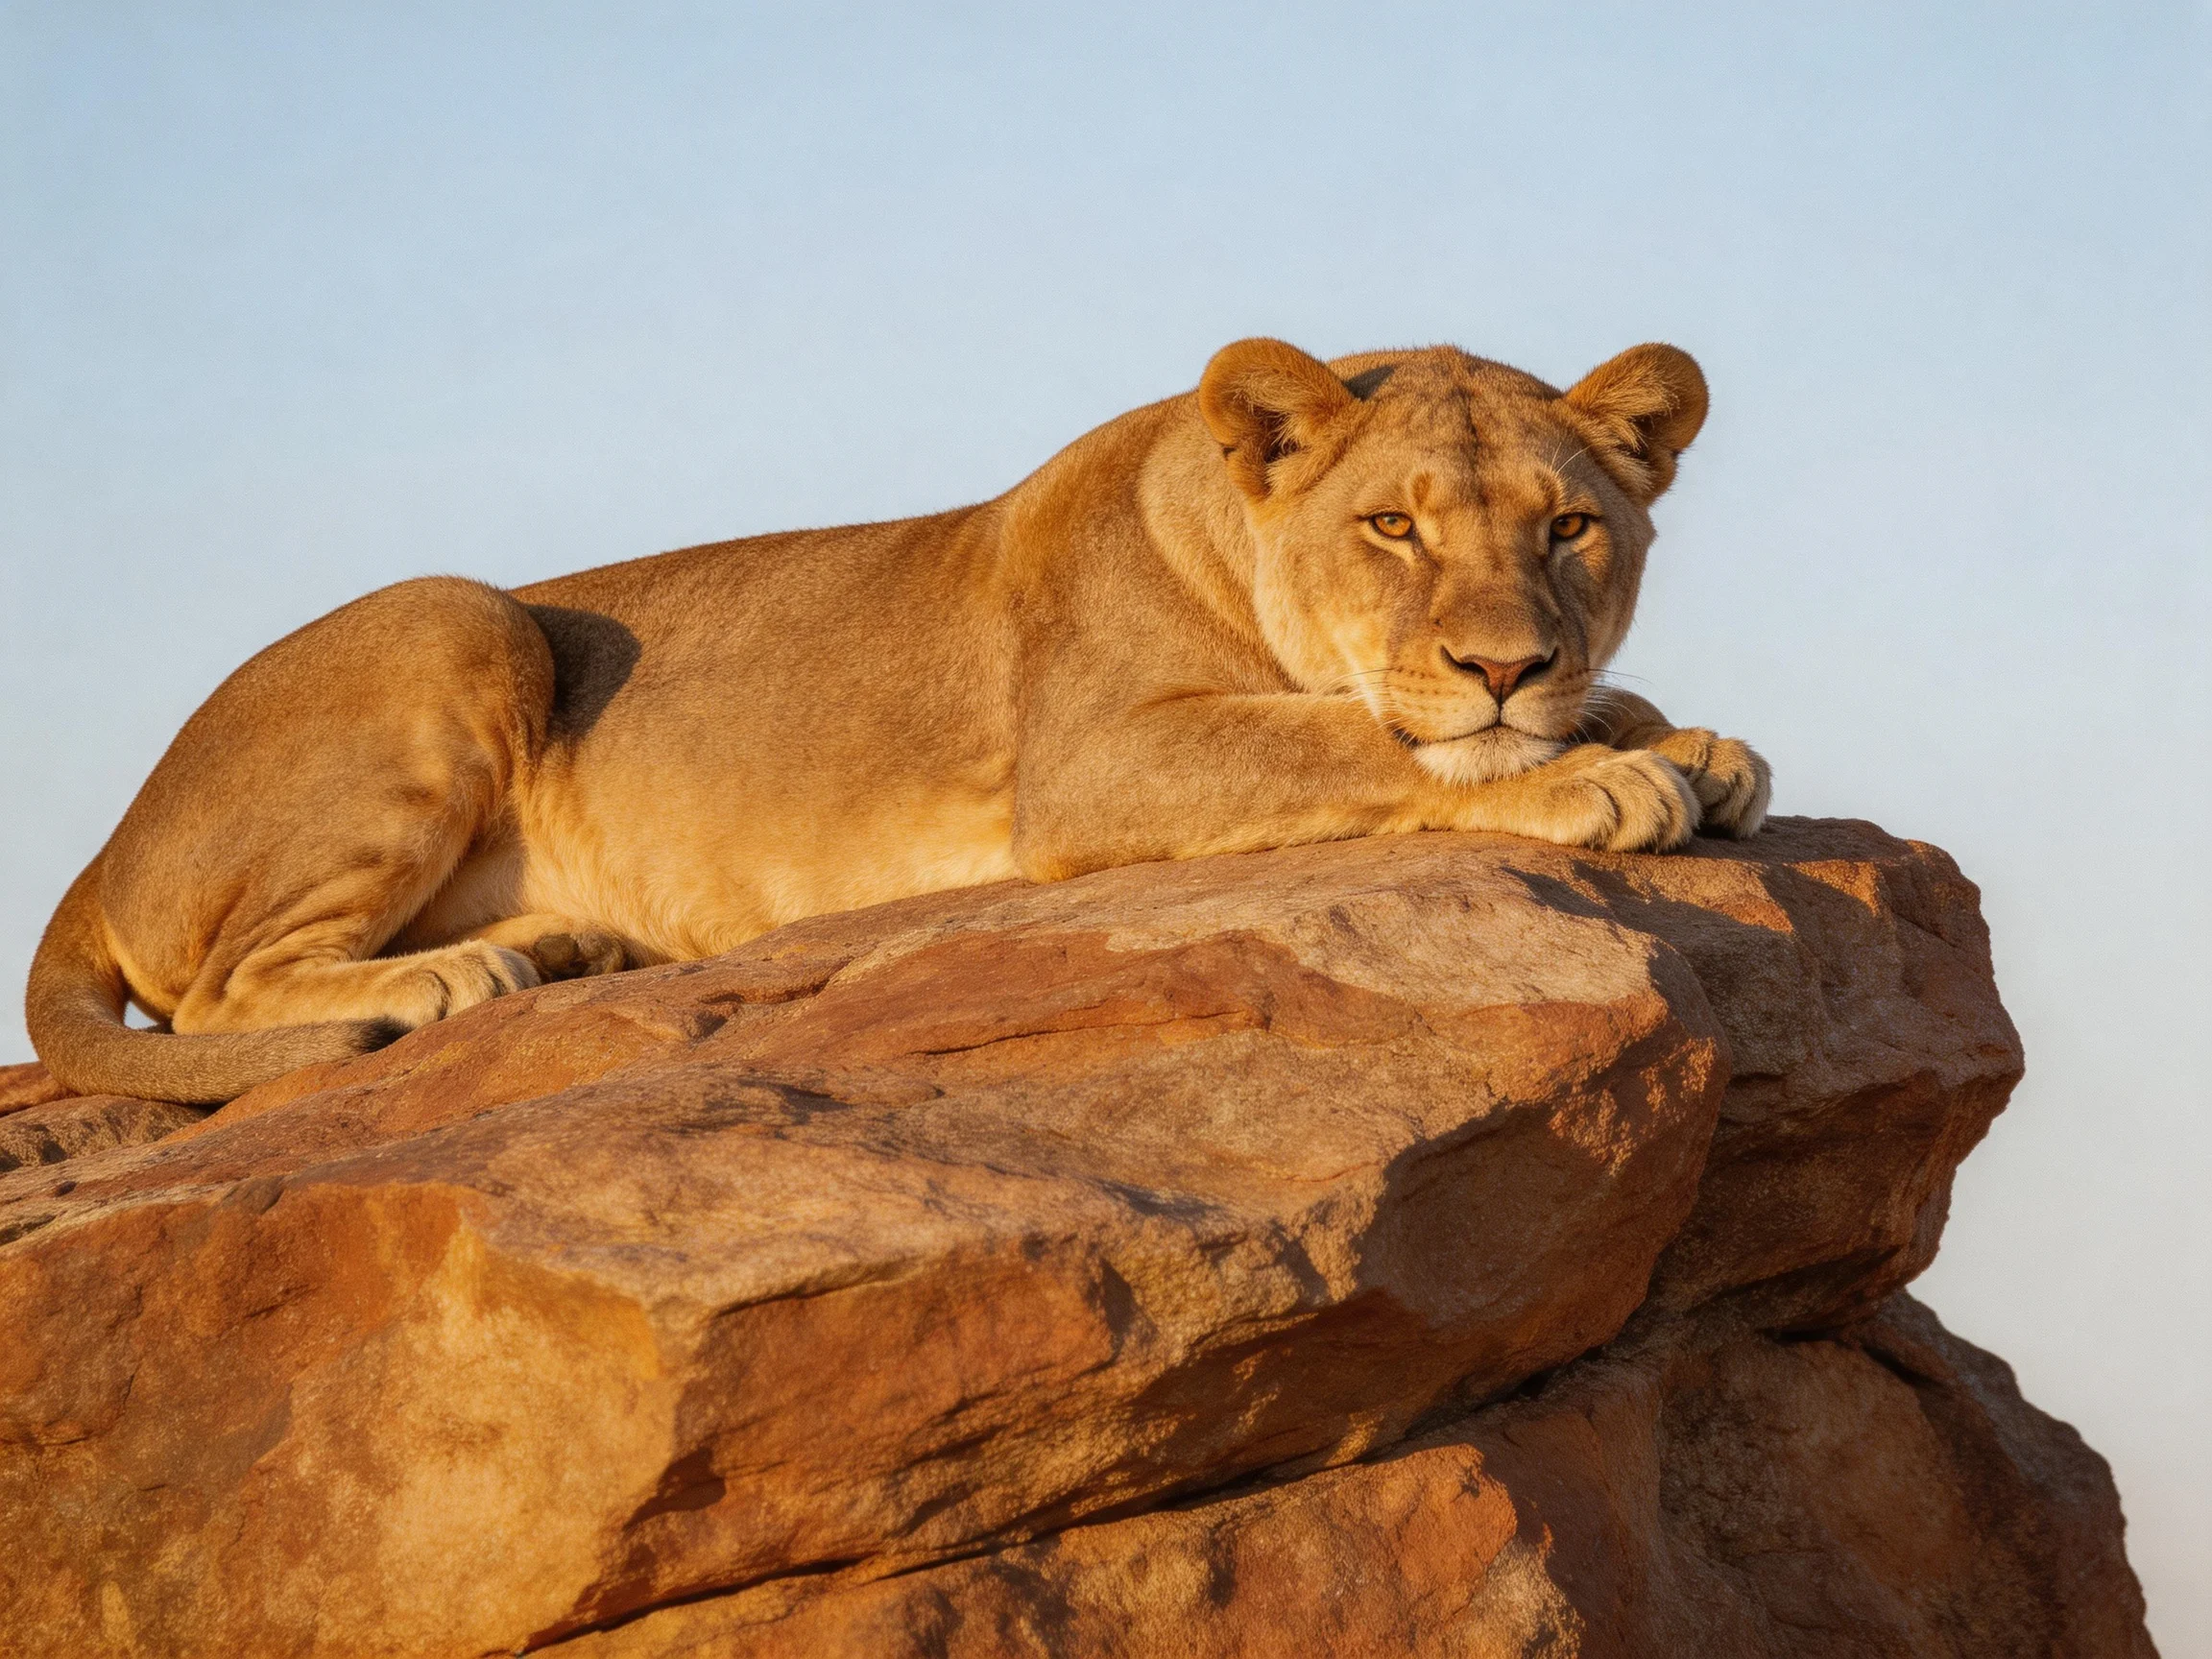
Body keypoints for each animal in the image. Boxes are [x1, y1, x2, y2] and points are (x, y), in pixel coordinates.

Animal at [27, 337, 1769, 1103]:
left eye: (1568, 527)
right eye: (1394, 528)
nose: (1503, 664)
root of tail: (110, 836)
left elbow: (1602, 703)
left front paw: (1682, 738)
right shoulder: (1092, 765)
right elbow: (1357, 737)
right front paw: (1602, 776)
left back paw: (571, 945)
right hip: (456, 613)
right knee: (216, 994)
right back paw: (456, 976)